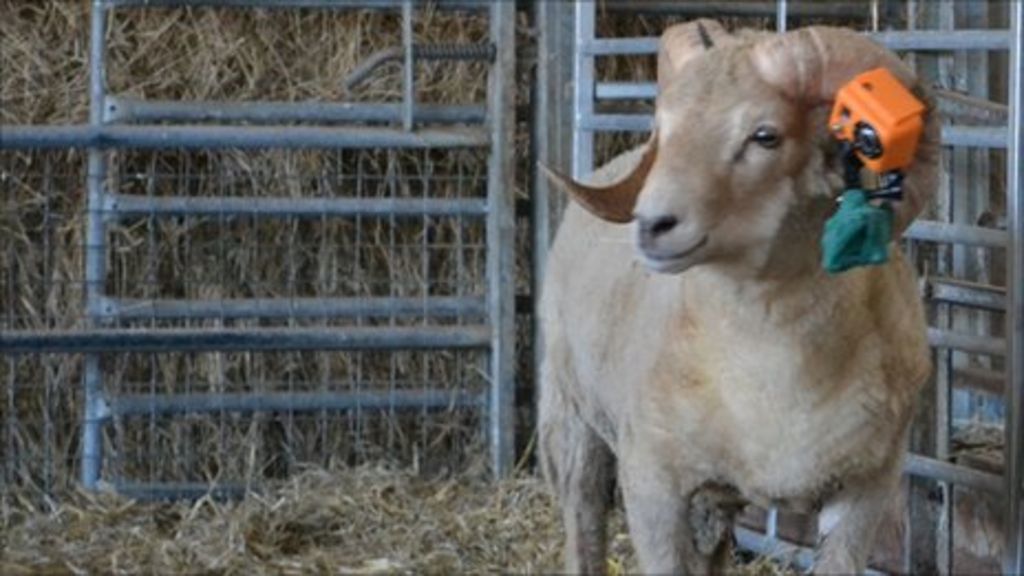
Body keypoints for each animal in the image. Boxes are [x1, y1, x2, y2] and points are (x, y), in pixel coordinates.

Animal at [538, 20, 940, 575]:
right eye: (663, 126)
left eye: (765, 135)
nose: (651, 224)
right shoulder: (651, 483)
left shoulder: (868, 488)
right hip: (570, 413)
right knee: (584, 526)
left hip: (714, 496)